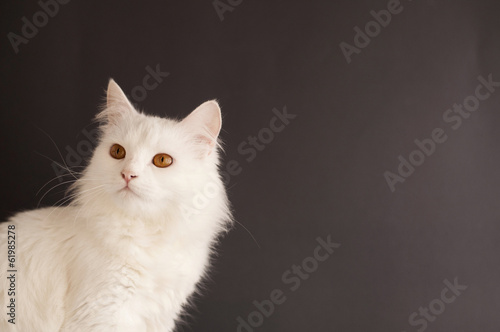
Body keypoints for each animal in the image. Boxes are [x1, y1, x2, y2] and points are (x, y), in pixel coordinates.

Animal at [0, 80, 232, 332]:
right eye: (118, 152)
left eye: (162, 160)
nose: (128, 174)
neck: (147, 234)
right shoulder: (100, 314)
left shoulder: (159, 317)